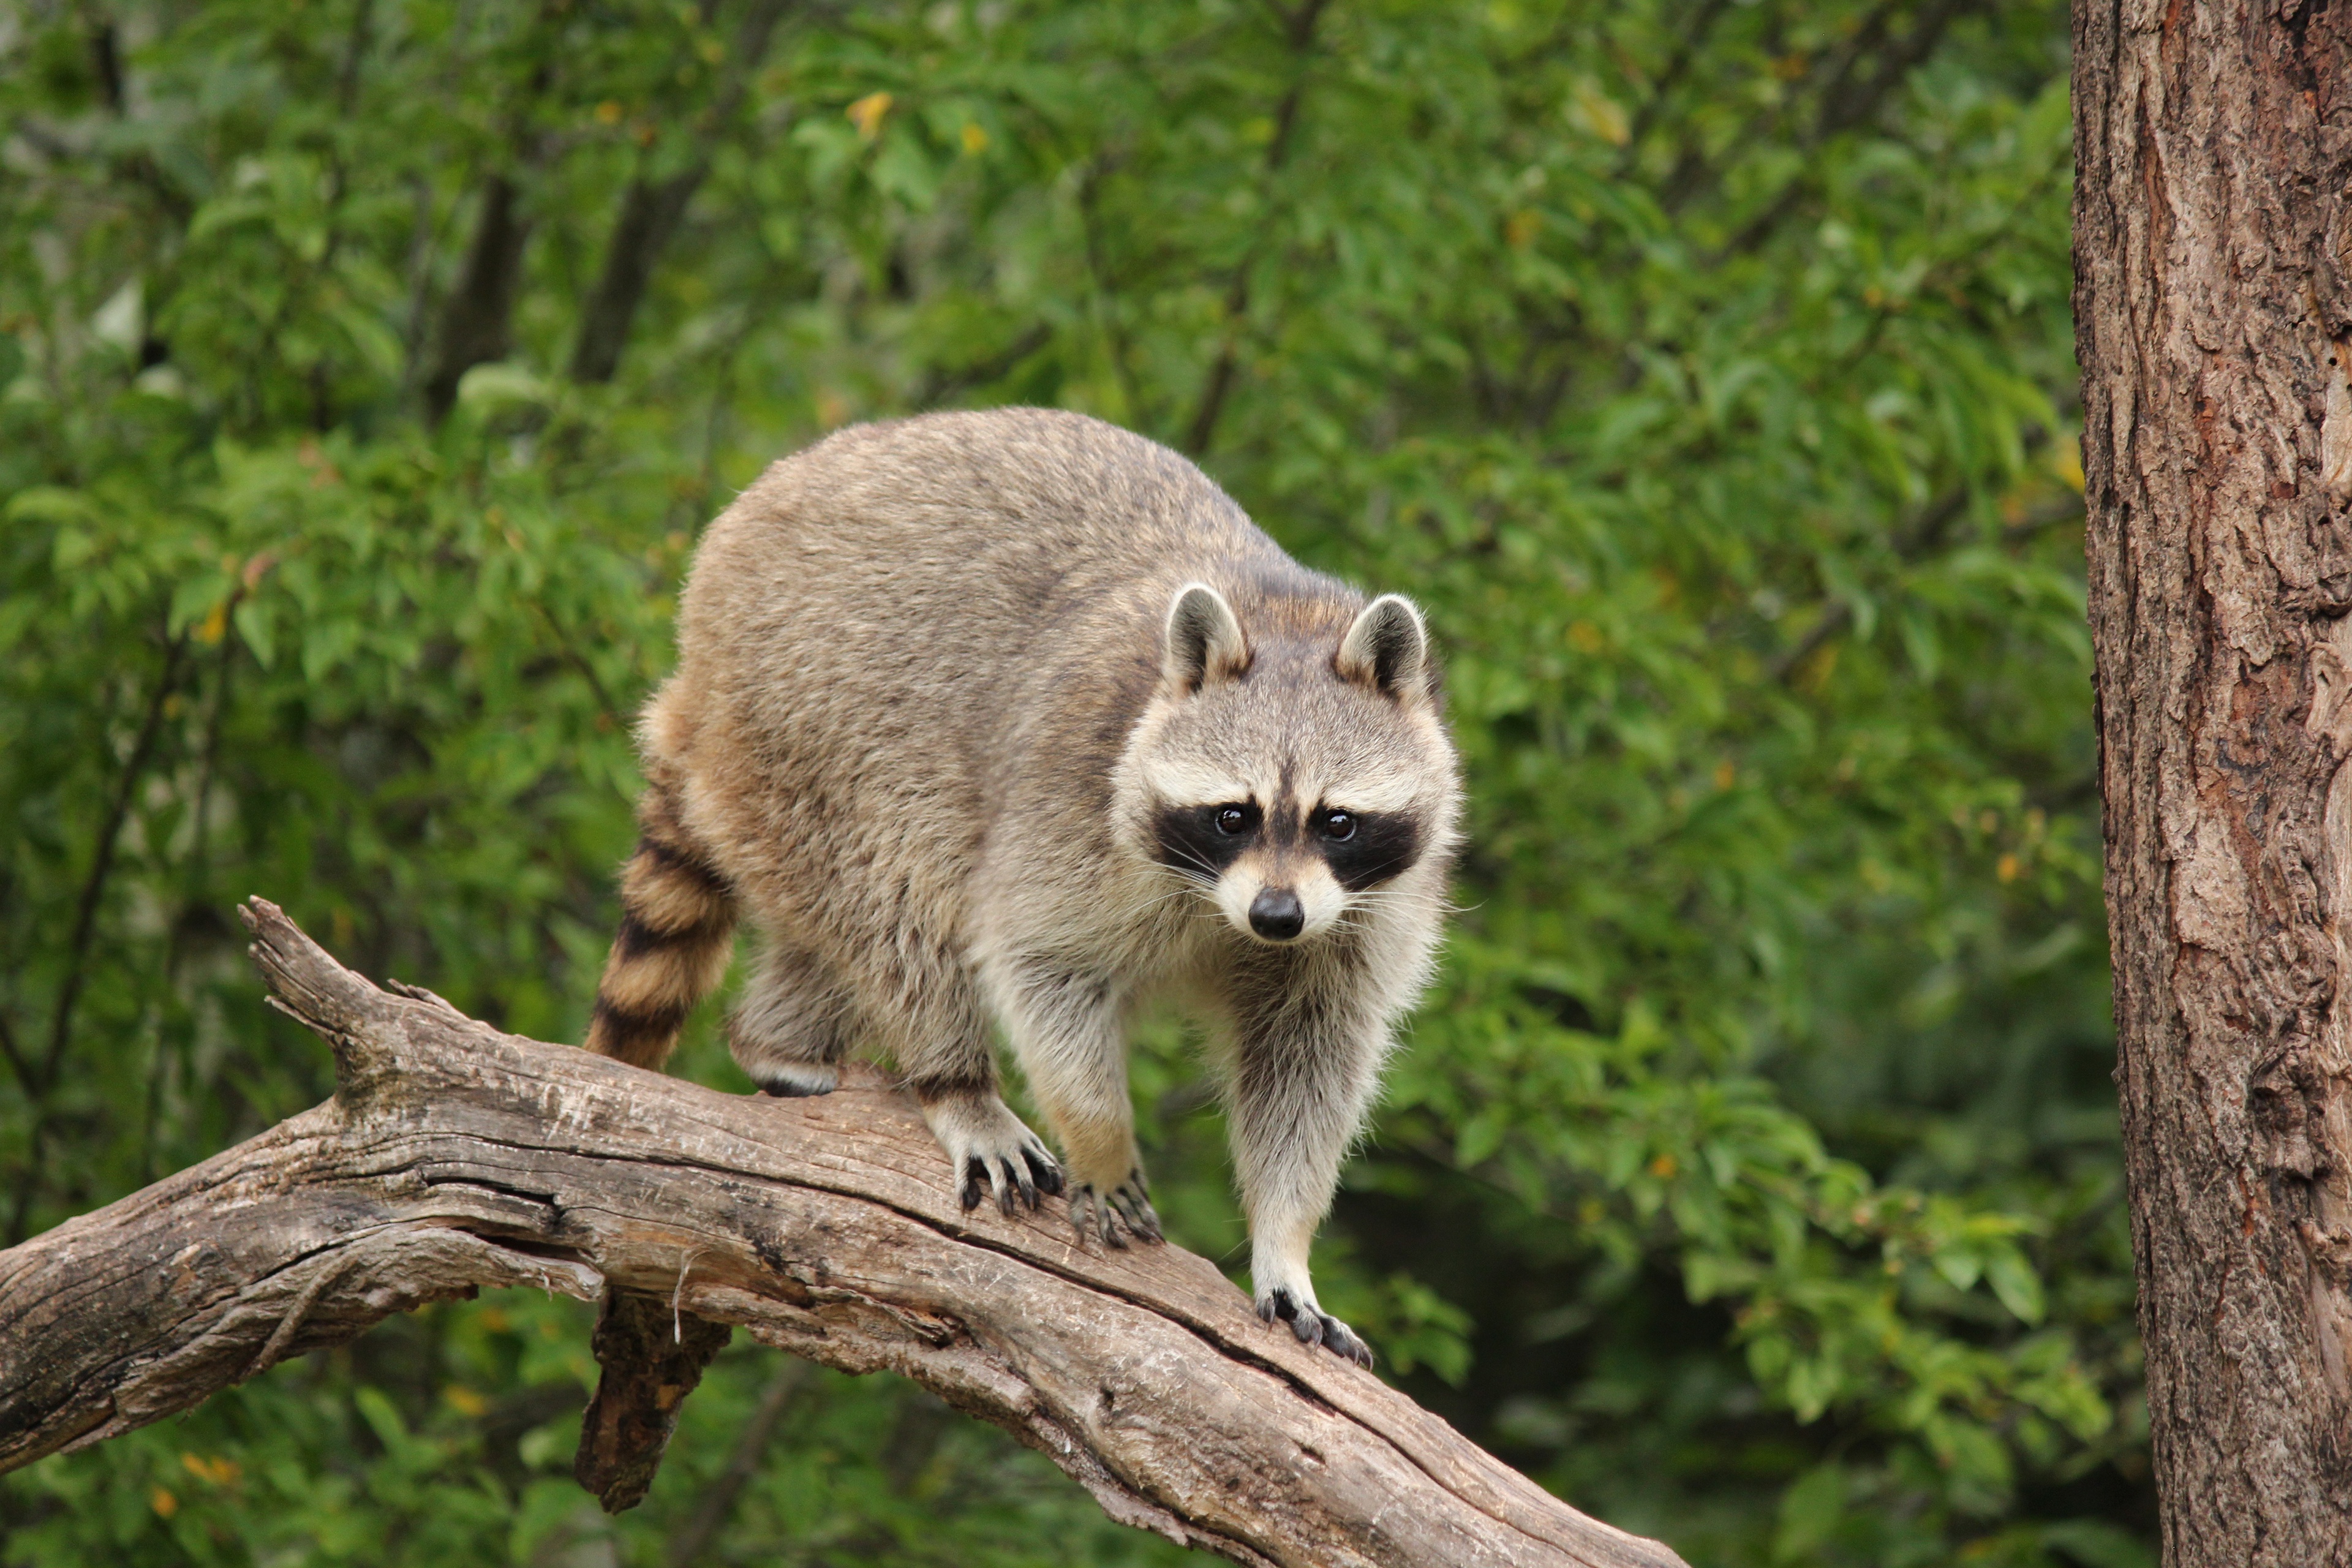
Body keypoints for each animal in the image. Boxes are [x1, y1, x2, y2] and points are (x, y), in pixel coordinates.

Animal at [592, 411, 1449, 1363]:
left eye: (1337, 821)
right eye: (1234, 815)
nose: (1276, 916)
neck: (1287, 615)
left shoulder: (1365, 912)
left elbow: (1310, 1059)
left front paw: (1285, 1241)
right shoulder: (1069, 794)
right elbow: (1038, 961)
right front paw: (1101, 1138)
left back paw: (776, 1039)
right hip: (811, 714)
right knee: (903, 892)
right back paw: (953, 1081)